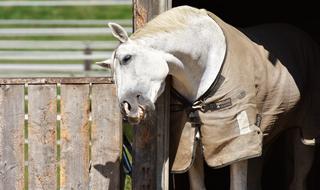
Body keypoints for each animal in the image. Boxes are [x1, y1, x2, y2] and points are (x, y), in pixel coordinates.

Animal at [98, 5, 320, 190]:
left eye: (127, 58)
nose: (127, 109)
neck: (204, 61)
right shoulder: (192, 142)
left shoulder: (235, 142)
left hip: (304, 136)